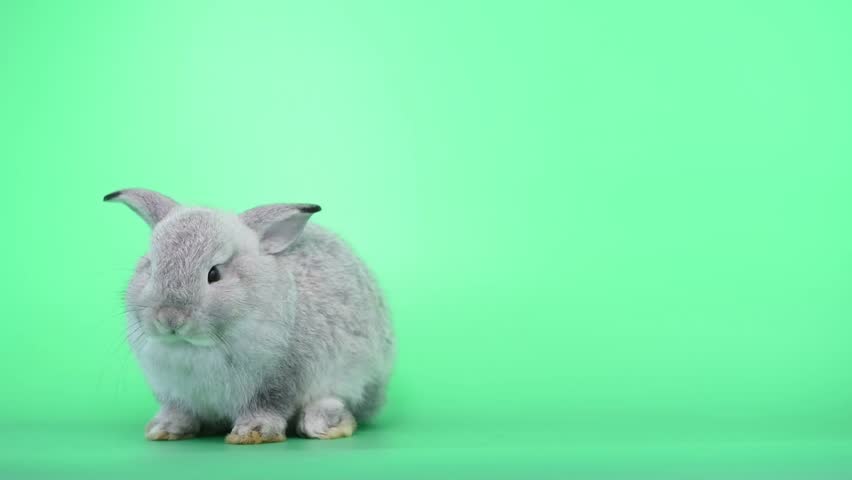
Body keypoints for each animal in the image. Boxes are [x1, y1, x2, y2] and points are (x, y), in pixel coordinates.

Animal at [104, 189, 396, 444]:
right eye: (151, 268)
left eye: (214, 274)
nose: (170, 318)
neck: (196, 346)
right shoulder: (174, 393)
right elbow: (179, 412)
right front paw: (164, 429)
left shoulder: (278, 381)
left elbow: (268, 406)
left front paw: (251, 434)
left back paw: (324, 424)